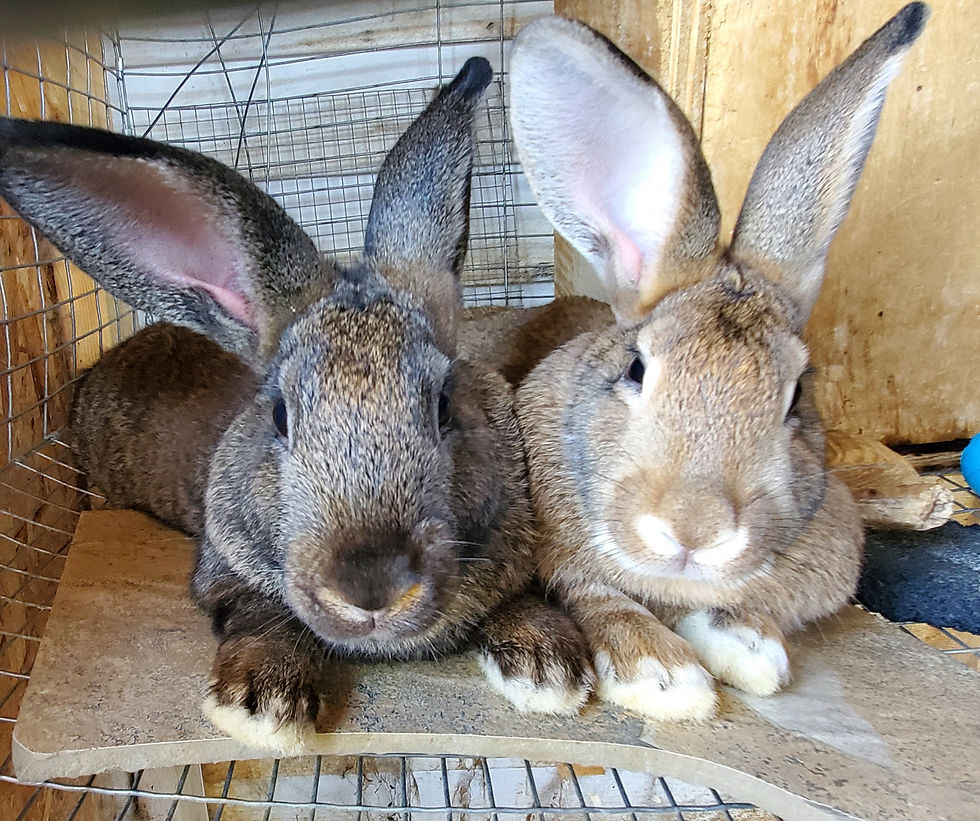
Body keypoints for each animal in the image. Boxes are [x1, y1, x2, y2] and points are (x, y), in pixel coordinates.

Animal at [0, 57, 594, 754]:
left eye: (444, 404)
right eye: (282, 415)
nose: (372, 588)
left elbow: (515, 601)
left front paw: (551, 666)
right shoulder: (225, 574)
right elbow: (263, 617)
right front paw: (262, 702)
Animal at [460, 4, 929, 721]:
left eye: (796, 393)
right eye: (636, 369)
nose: (694, 531)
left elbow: (751, 605)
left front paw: (748, 648)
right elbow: (599, 596)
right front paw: (663, 676)